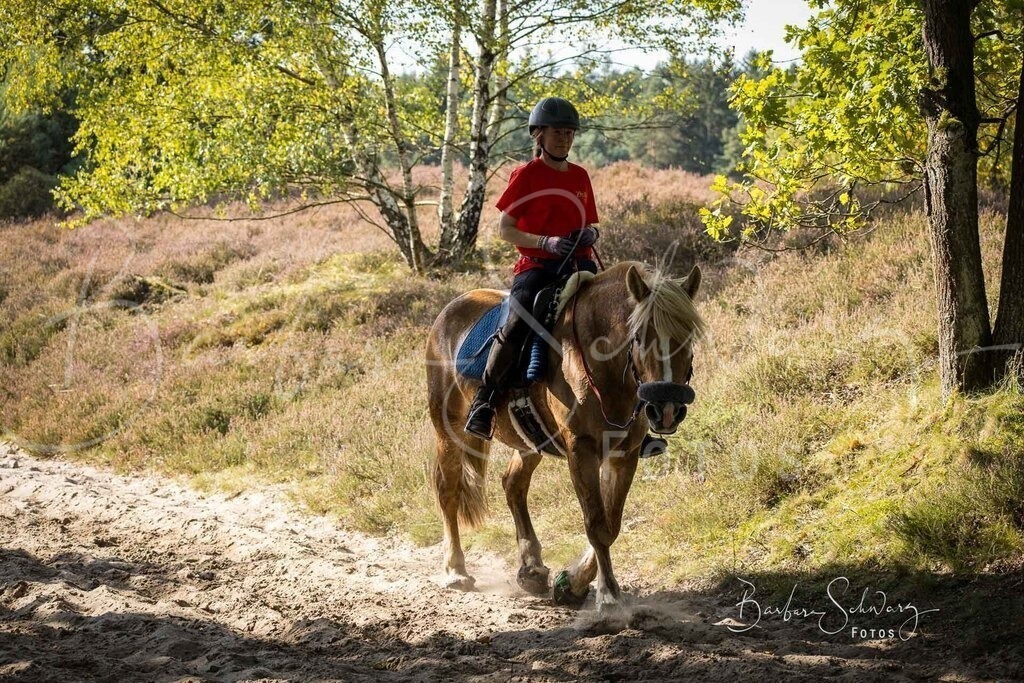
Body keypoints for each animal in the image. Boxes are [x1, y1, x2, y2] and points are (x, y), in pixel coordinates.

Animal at [425, 261, 705, 612]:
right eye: (640, 336)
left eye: (689, 335)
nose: (666, 408)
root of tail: (450, 310)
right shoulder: (581, 451)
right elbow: (596, 524)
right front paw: (607, 595)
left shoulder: (624, 454)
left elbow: (611, 524)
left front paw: (572, 583)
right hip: (447, 431)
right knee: (447, 490)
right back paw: (455, 571)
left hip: (530, 440)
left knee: (513, 483)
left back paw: (531, 568)